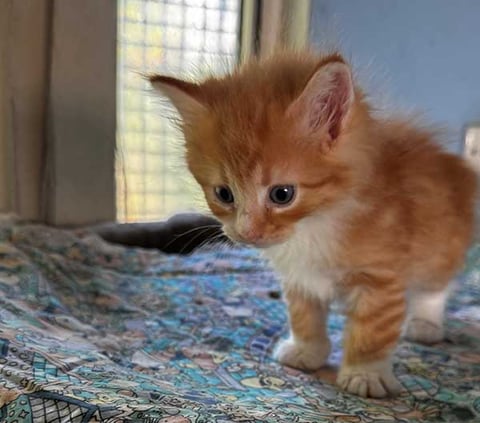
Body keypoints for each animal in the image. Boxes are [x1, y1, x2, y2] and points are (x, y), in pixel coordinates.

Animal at [149, 51, 476, 400]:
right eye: (224, 193)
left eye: (282, 194)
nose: (247, 232)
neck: (315, 226)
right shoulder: (299, 277)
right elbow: (304, 316)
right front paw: (307, 351)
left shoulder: (381, 278)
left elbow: (373, 330)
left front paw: (365, 373)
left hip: (441, 246)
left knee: (435, 288)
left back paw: (425, 324)